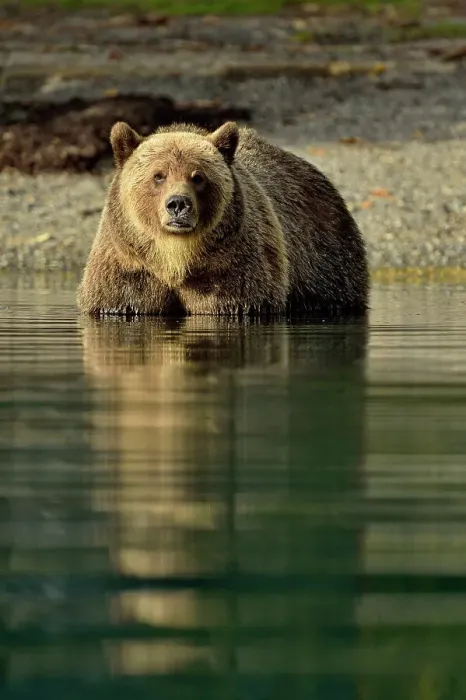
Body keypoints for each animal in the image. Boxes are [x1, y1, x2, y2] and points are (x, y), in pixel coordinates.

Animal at [77, 120, 369, 318]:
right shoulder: (128, 269)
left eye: (198, 176)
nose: (178, 204)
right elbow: (120, 300)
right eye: (158, 175)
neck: (173, 259)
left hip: (325, 259)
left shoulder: (230, 268)